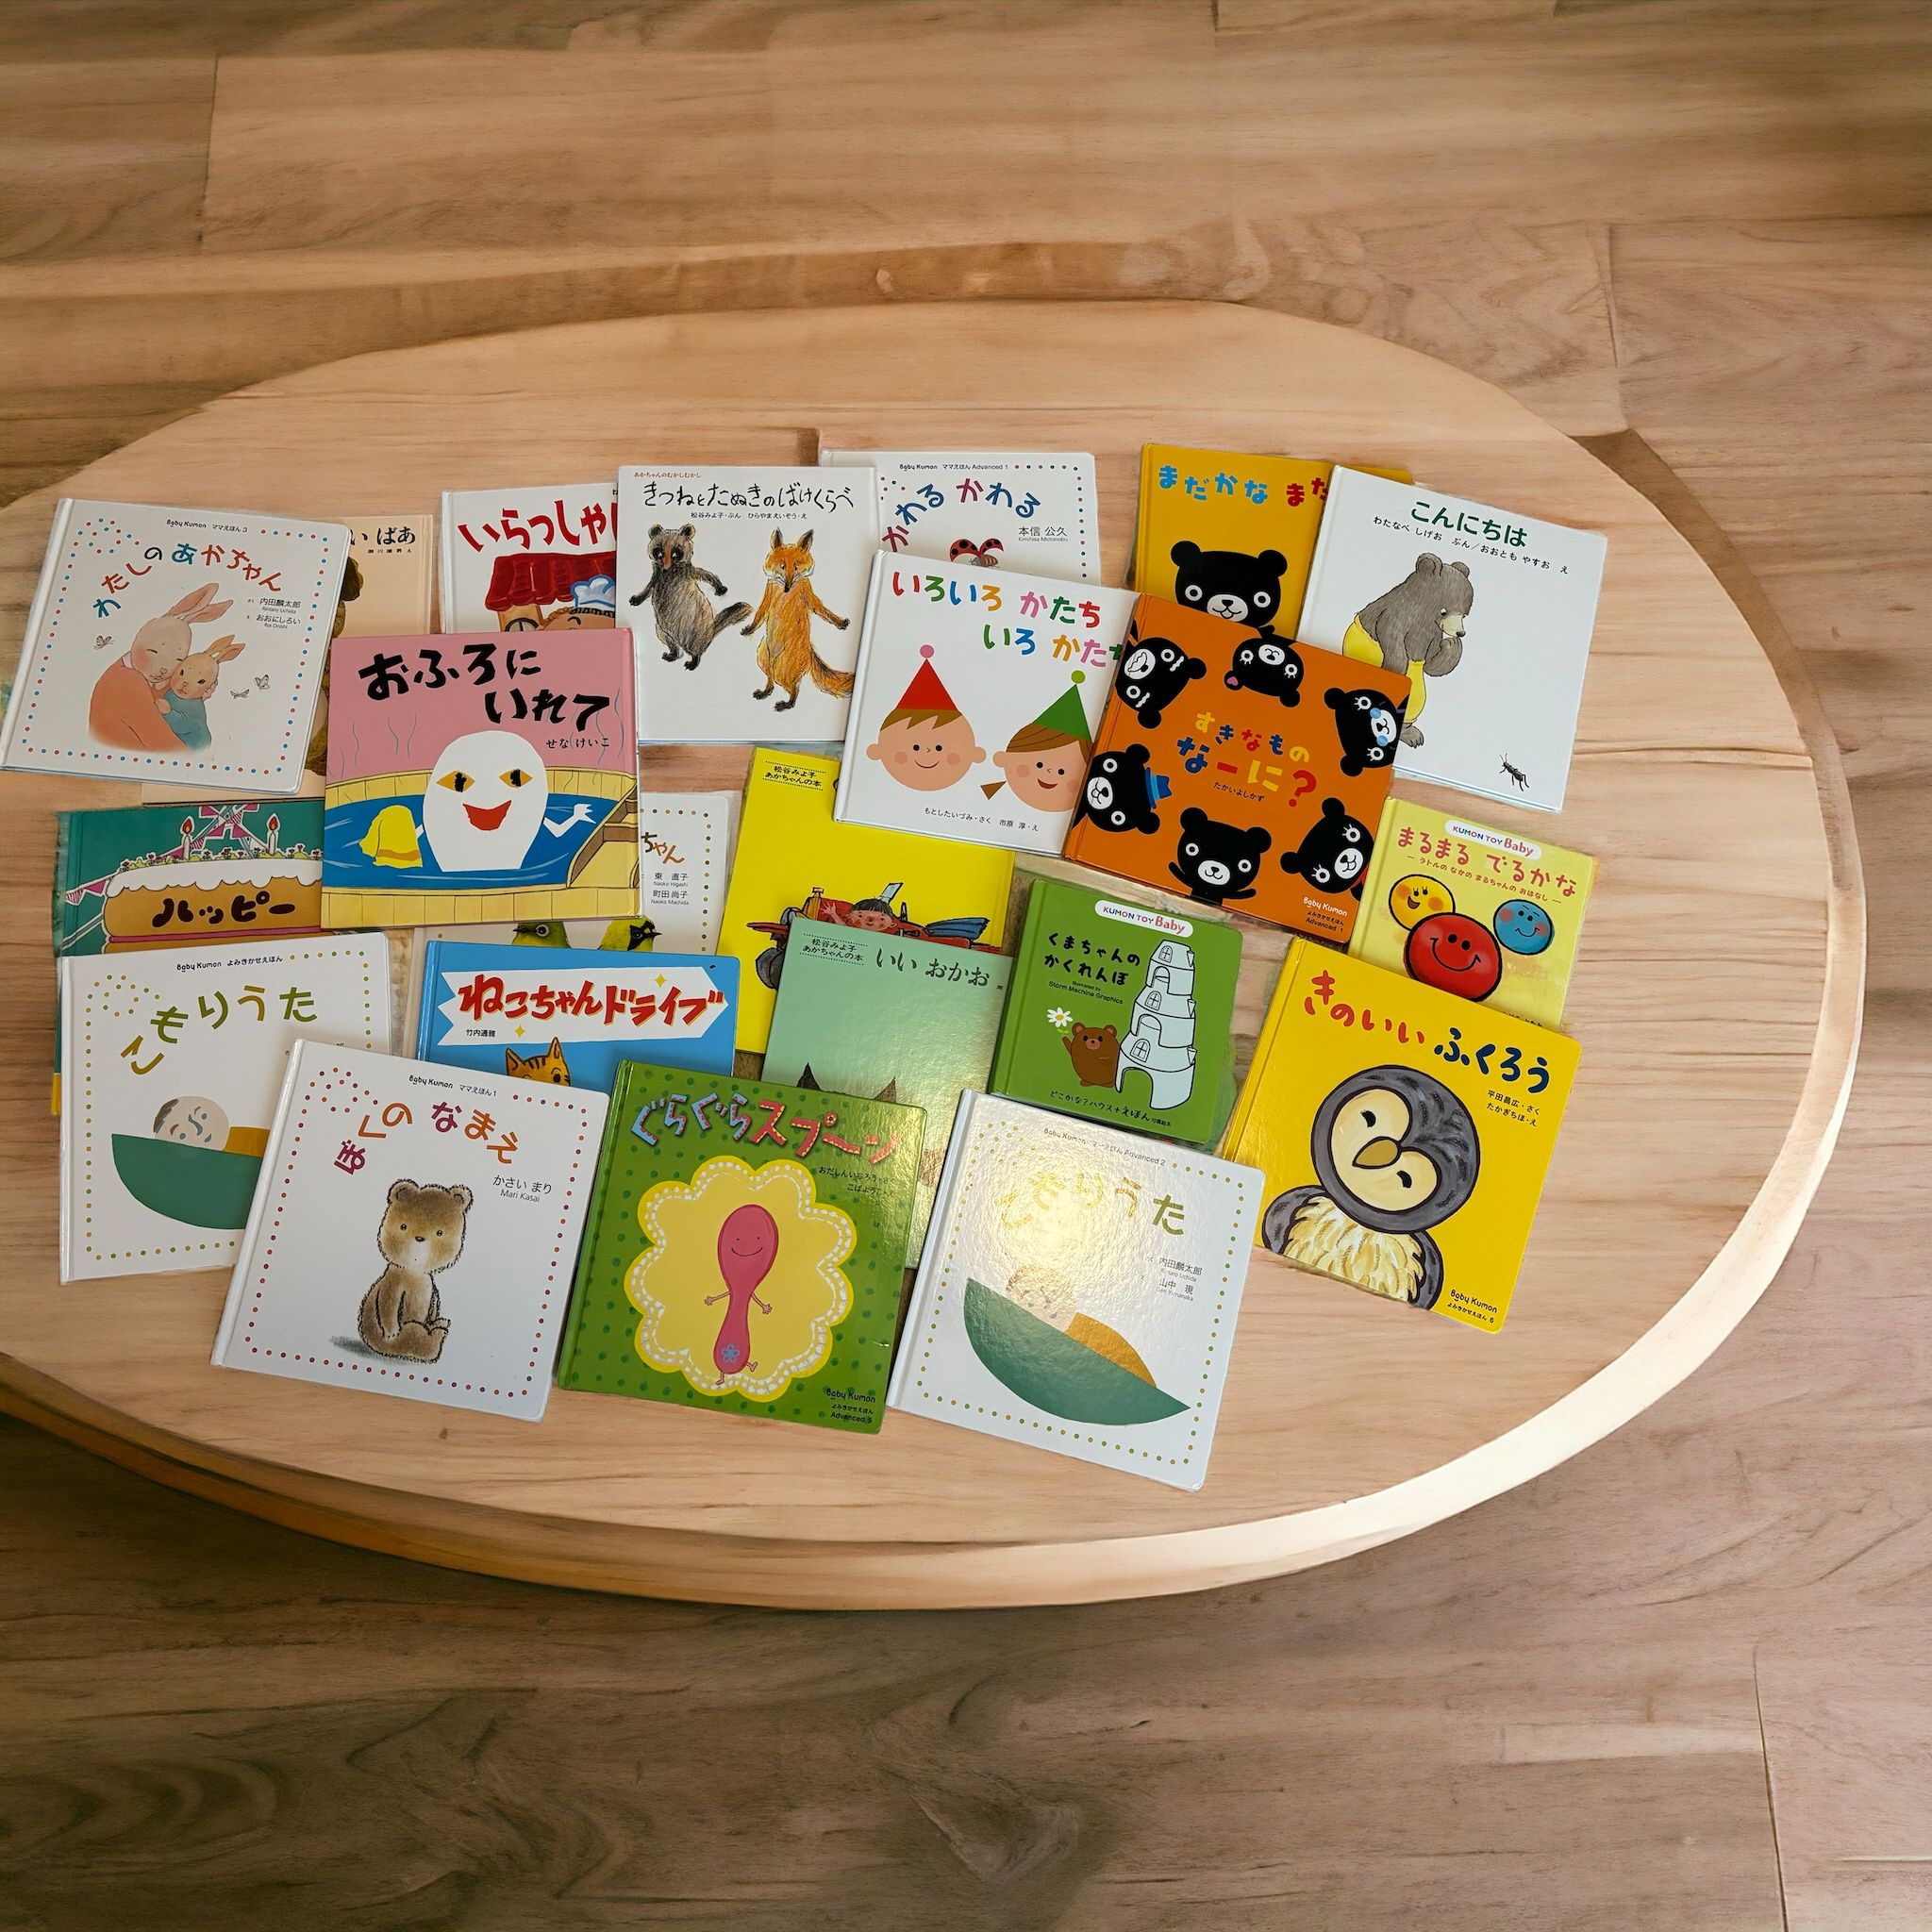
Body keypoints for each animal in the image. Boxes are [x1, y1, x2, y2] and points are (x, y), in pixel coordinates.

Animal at [739, 528, 853, 711]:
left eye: (797, 567)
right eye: (782, 566)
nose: (787, 587)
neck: (784, 592)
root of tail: (810, 651)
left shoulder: (808, 593)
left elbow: (823, 610)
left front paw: (840, 622)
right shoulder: (768, 594)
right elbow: (759, 614)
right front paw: (749, 629)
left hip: (783, 670)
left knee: (794, 690)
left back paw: (786, 704)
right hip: (763, 658)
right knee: (771, 681)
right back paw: (765, 693)